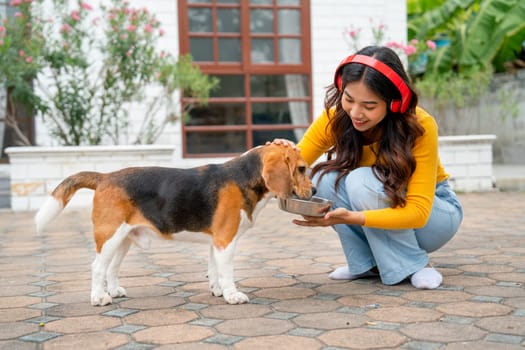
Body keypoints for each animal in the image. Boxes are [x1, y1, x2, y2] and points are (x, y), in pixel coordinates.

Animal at [34, 144, 314, 304]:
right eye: (301, 169)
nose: (312, 191)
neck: (244, 175)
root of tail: (105, 176)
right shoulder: (226, 240)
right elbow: (227, 273)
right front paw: (232, 295)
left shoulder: (216, 242)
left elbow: (214, 270)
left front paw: (217, 290)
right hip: (110, 236)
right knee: (97, 267)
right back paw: (99, 297)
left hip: (123, 239)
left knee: (111, 268)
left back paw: (113, 291)